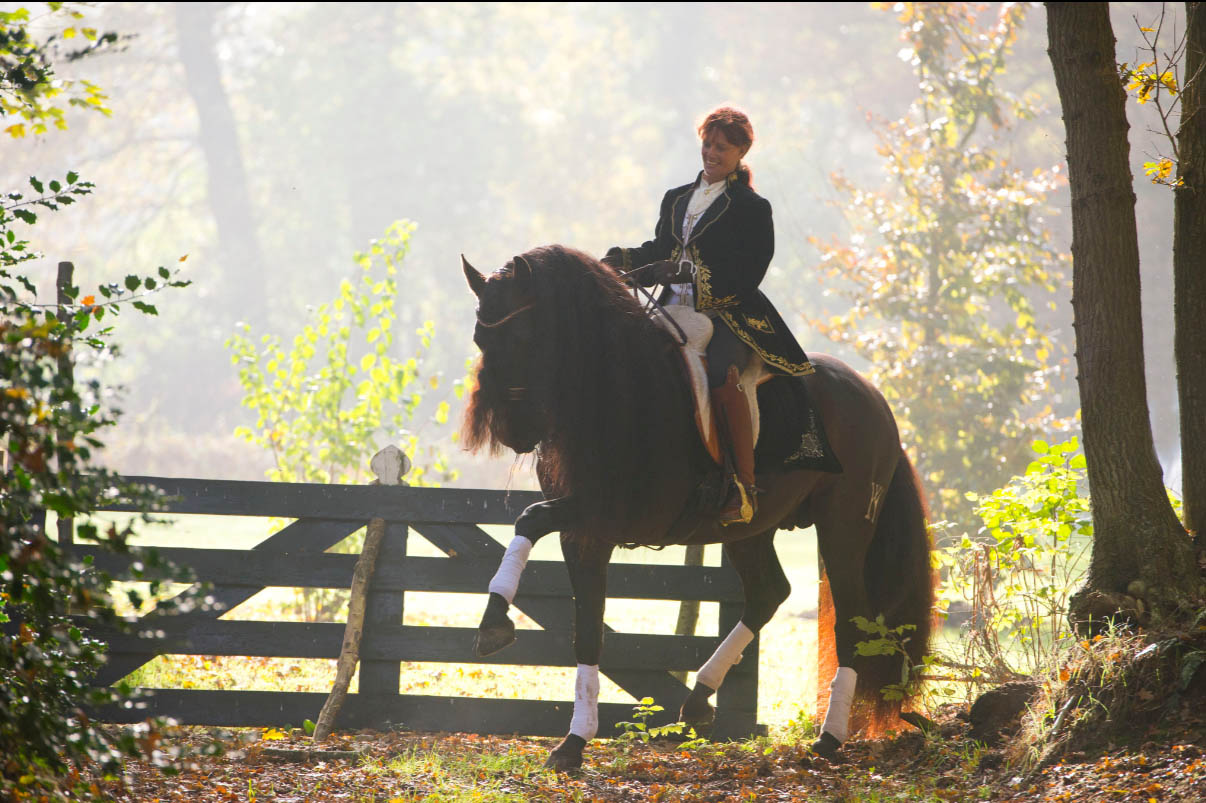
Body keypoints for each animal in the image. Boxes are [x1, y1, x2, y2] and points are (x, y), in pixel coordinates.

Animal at [460, 245, 931, 771]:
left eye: (525, 335)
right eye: (480, 337)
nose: (513, 432)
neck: (616, 393)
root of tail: (873, 398)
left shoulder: (612, 514)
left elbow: (531, 517)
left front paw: (494, 623)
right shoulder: (584, 532)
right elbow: (585, 629)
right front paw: (573, 740)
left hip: (844, 529)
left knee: (849, 619)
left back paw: (828, 738)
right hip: (750, 530)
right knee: (769, 593)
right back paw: (700, 698)